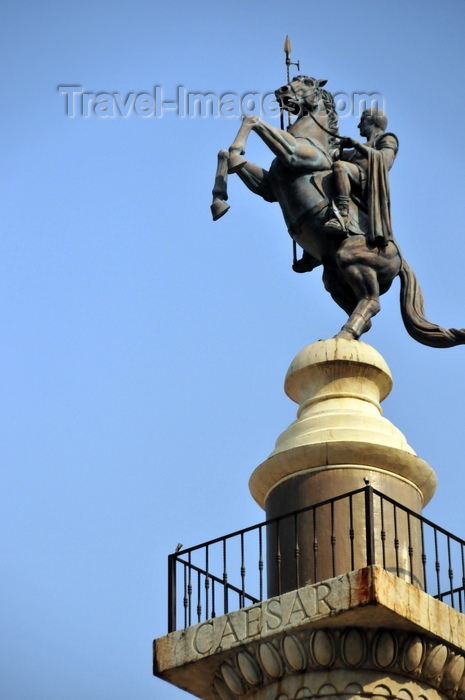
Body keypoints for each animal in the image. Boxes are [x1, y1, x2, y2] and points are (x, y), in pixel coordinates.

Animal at [212, 74, 464, 348]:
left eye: (307, 82)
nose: (282, 90)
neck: (312, 138)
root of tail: (399, 260)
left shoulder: (294, 154)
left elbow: (253, 120)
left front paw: (236, 155)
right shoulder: (268, 187)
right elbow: (224, 154)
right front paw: (219, 200)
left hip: (352, 260)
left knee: (372, 303)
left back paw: (345, 332)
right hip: (334, 278)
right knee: (363, 310)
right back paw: (344, 334)